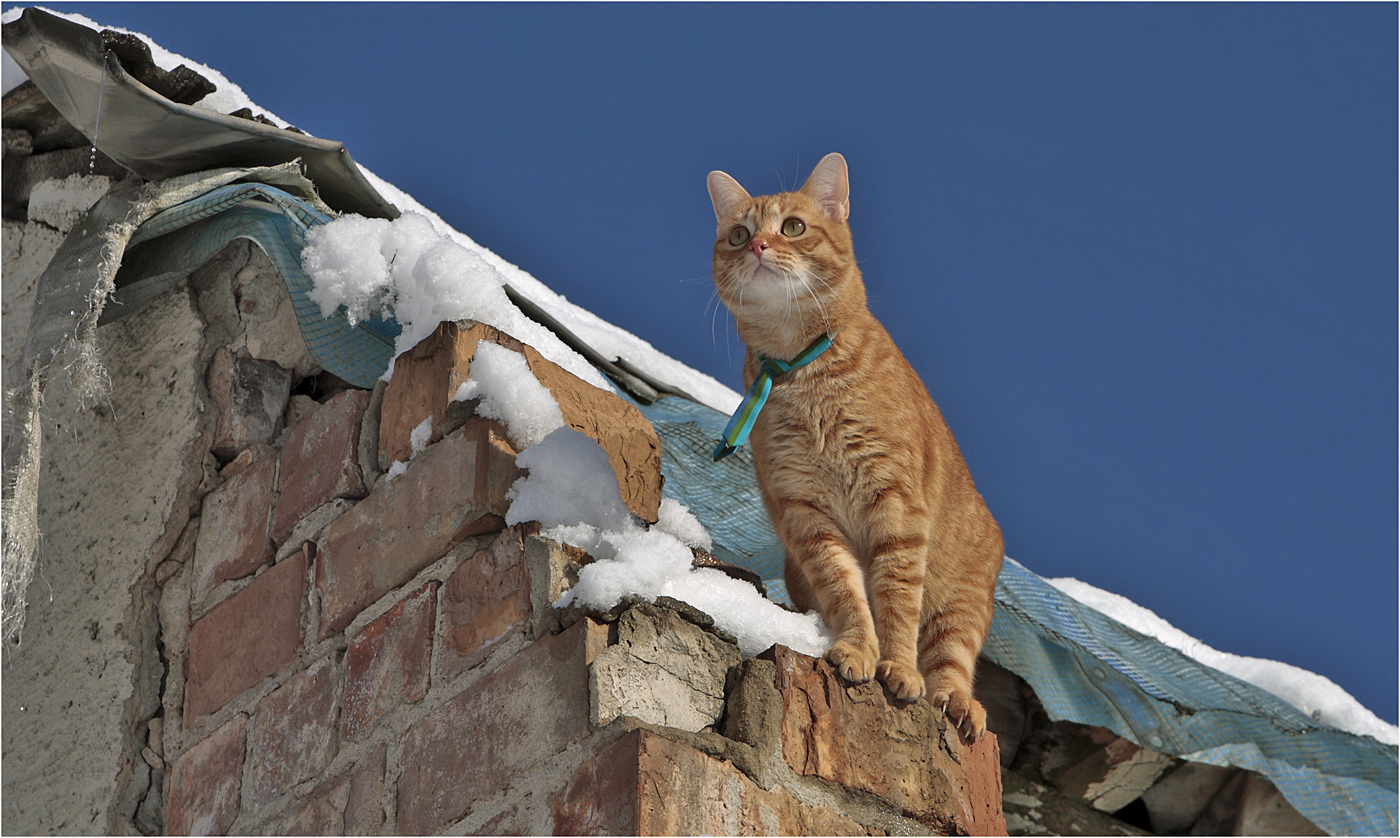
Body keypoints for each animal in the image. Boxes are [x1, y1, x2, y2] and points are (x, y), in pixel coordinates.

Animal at [711, 152, 1008, 738]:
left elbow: (896, 598)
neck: (805, 376)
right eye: (737, 234)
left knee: (950, 662)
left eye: (793, 227)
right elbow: (846, 590)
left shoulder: (895, 504)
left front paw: (897, 665)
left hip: (959, 602)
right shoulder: (806, 512)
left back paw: (956, 702)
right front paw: (858, 649)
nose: (758, 247)